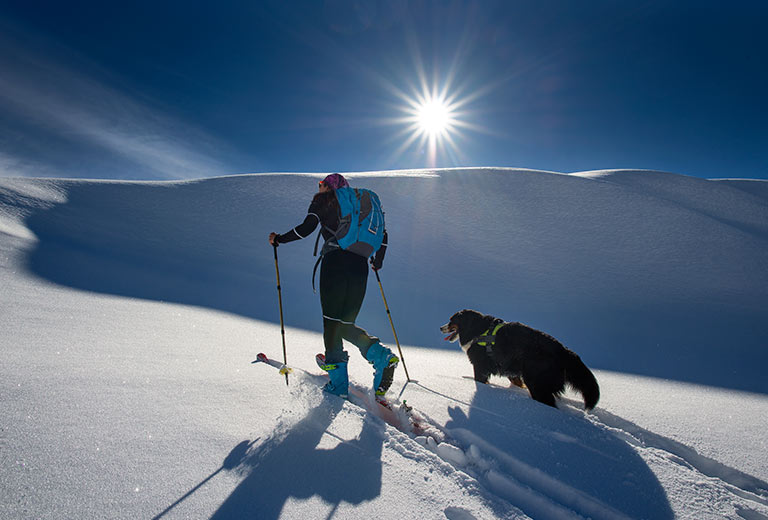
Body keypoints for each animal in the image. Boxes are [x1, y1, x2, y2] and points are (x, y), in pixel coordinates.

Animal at [444, 308, 600, 410]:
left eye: (451, 320)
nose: (441, 327)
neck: (476, 330)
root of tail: (564, 351)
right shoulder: (509, 368)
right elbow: (515, 380)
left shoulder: (480, 365)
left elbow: (480, 380)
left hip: (537, 382)